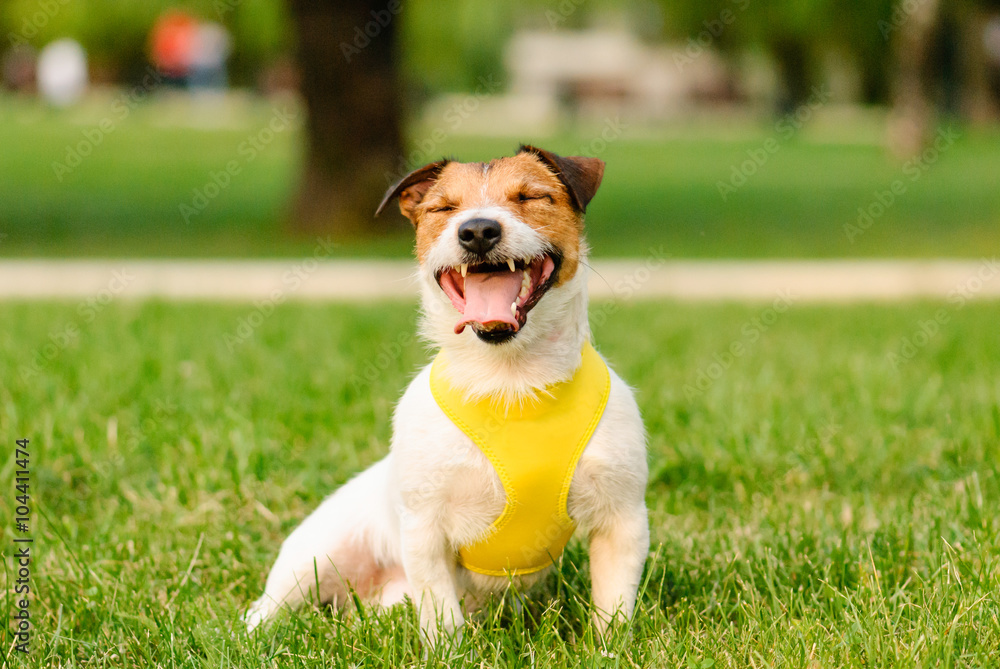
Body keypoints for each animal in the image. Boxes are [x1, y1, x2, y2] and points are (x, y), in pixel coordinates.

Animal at [246, 145, 652, 640]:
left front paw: (610, 646)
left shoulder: (621, 519)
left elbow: (613, 608)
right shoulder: (425, 529)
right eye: (444, 208)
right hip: (314, 558)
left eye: (532, 197)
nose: (477, 230)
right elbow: (441, 614)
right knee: (267, 608)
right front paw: (448, 649)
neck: (510, 382)